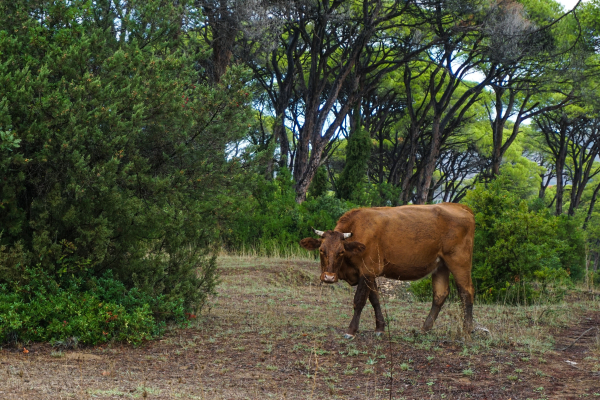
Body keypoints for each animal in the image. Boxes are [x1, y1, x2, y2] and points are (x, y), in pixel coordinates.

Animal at [300, 203, 474, 338]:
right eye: (321, 250)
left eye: (341, 252)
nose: (329, 277)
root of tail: (460, 207)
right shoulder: (369, 274)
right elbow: (375, 299)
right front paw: (380, 328)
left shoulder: (367, 271)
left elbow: (359, 300)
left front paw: (351, 330)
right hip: (441, 265)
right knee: (440, 295)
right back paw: (425, 328)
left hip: (459, 262)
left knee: (466, 293)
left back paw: (467, 331)